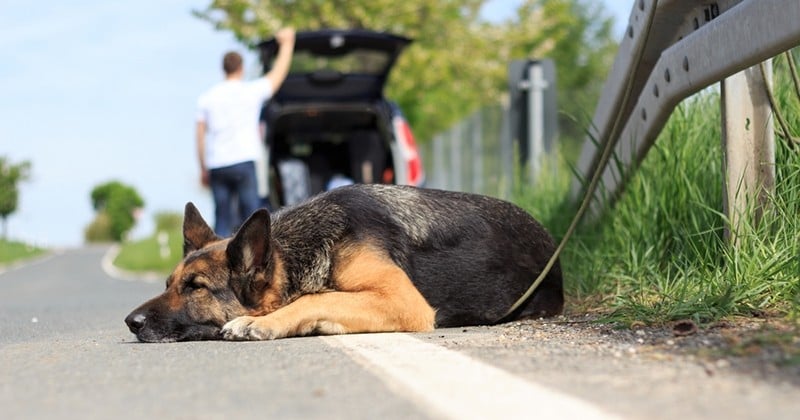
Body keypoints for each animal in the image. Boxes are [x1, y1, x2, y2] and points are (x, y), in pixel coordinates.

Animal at [125, 185, 564, 342]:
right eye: (168, 284)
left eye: (195, 287)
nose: (131, 322)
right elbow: (324, 298)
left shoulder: (403, 299)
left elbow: (315, 297)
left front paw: (262, 322)